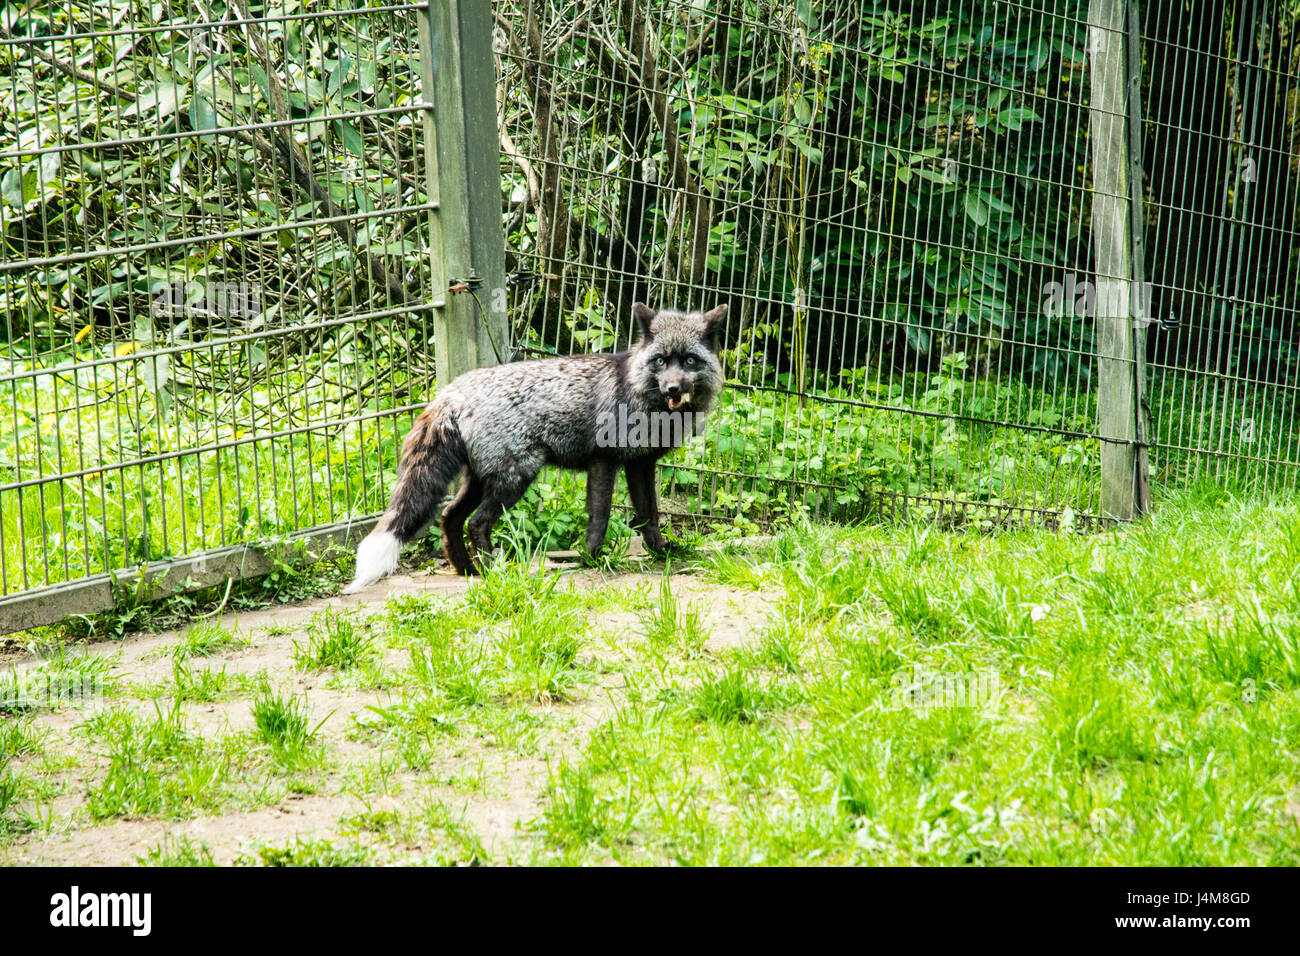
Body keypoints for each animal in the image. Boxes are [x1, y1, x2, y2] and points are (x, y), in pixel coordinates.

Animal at [343, 302, 728, 592]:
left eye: (689, 360)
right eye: (660, 360)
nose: (673, 389)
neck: (640, 393)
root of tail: (453, 390)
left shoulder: (640, 464)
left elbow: (649, 514)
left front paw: (661, 552)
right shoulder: (603, 459)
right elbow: (600, 516)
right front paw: (592, 557)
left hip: (480, 480)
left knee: (449, 516)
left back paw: (468, 570)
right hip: (515, 478)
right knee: (476, 524)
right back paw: (492, 570)